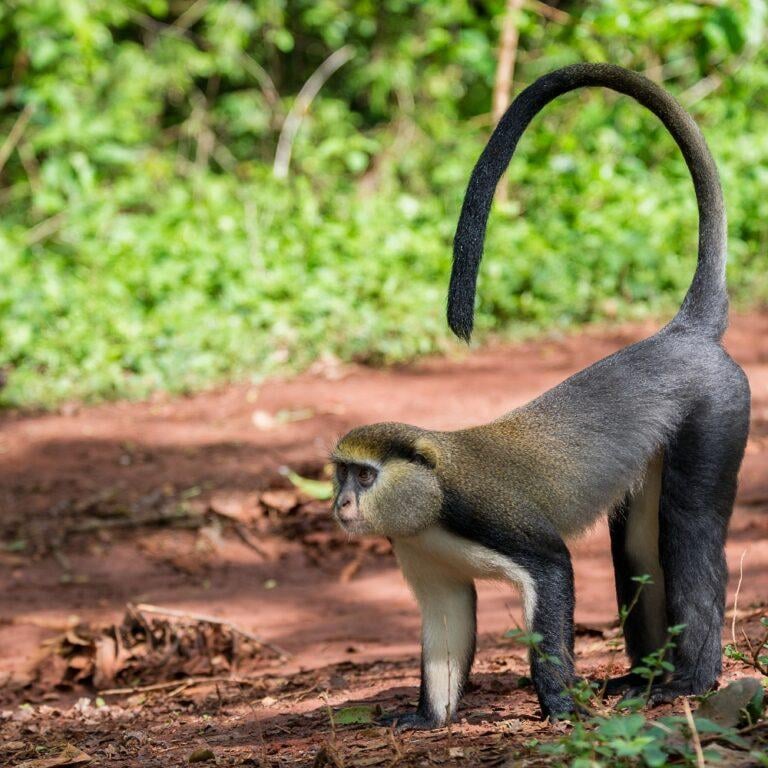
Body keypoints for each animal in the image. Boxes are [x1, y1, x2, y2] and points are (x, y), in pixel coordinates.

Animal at [331, 63, 750, 730]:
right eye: (340, 474)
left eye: (366, 477)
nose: (342, 505)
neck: (428, 498)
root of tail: (683, 334)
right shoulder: (424, 558)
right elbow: (447, 619)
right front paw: (426, 718)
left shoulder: (490, 517)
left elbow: (553, 573)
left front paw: (558, 707)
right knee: (636, 544)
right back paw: (642, 676)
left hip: (716, 416)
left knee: (686, 529)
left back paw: (689, 680)